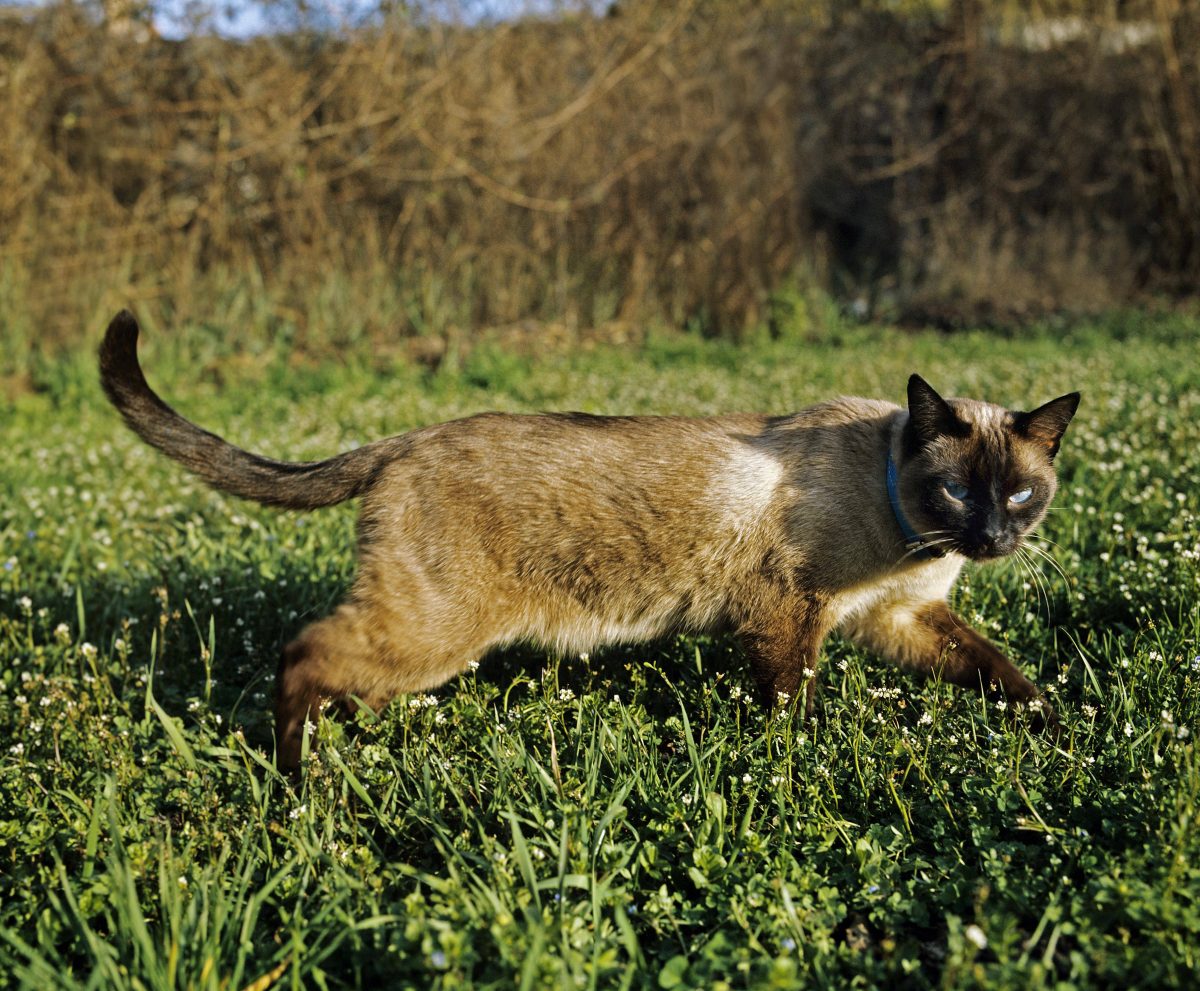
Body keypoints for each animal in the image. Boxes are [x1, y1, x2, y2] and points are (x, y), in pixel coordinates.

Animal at [98, 311, 1084, 767]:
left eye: (1020, 493)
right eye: (955, 489)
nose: (992, 536)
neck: (912, 539)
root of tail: (407, 438)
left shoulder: (902, 619)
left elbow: (1000, 669)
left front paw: (1052, 720)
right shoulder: (788, 619)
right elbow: (790, 711)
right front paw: (792, 771)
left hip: (418, 644)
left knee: (343, 673)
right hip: (432, 633)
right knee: (302, 654)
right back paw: (299, 780)